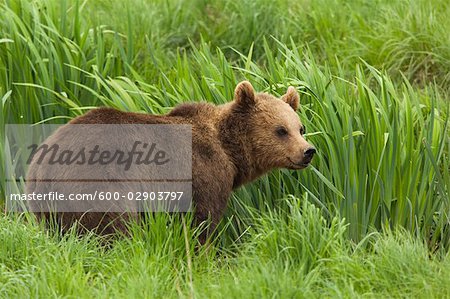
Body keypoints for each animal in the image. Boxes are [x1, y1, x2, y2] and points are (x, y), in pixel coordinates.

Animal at [26, 82, 314, 244]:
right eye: (280, 130)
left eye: (300, 128)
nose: (308, 151)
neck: (230, 151)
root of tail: (41, 165)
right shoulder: (203, 172)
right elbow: (202, 223)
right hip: (100, 182)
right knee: (114, 227)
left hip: (47, 207)